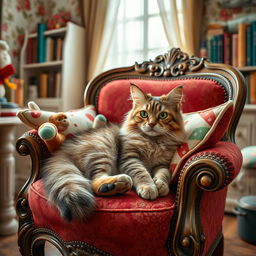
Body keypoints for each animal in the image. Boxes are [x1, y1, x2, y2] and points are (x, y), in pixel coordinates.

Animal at [42, 84, 186, 220]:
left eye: (163, 115)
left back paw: (115, 186)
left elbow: (164, 174)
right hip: (103, 150)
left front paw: (161, 185)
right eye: (144, 114)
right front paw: (149, 187)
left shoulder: (162, 164)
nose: (151, 124)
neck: (153, 141)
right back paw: (120, 183)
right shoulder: (130, 159)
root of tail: (63, 149)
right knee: (94, 180)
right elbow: (142, 173)